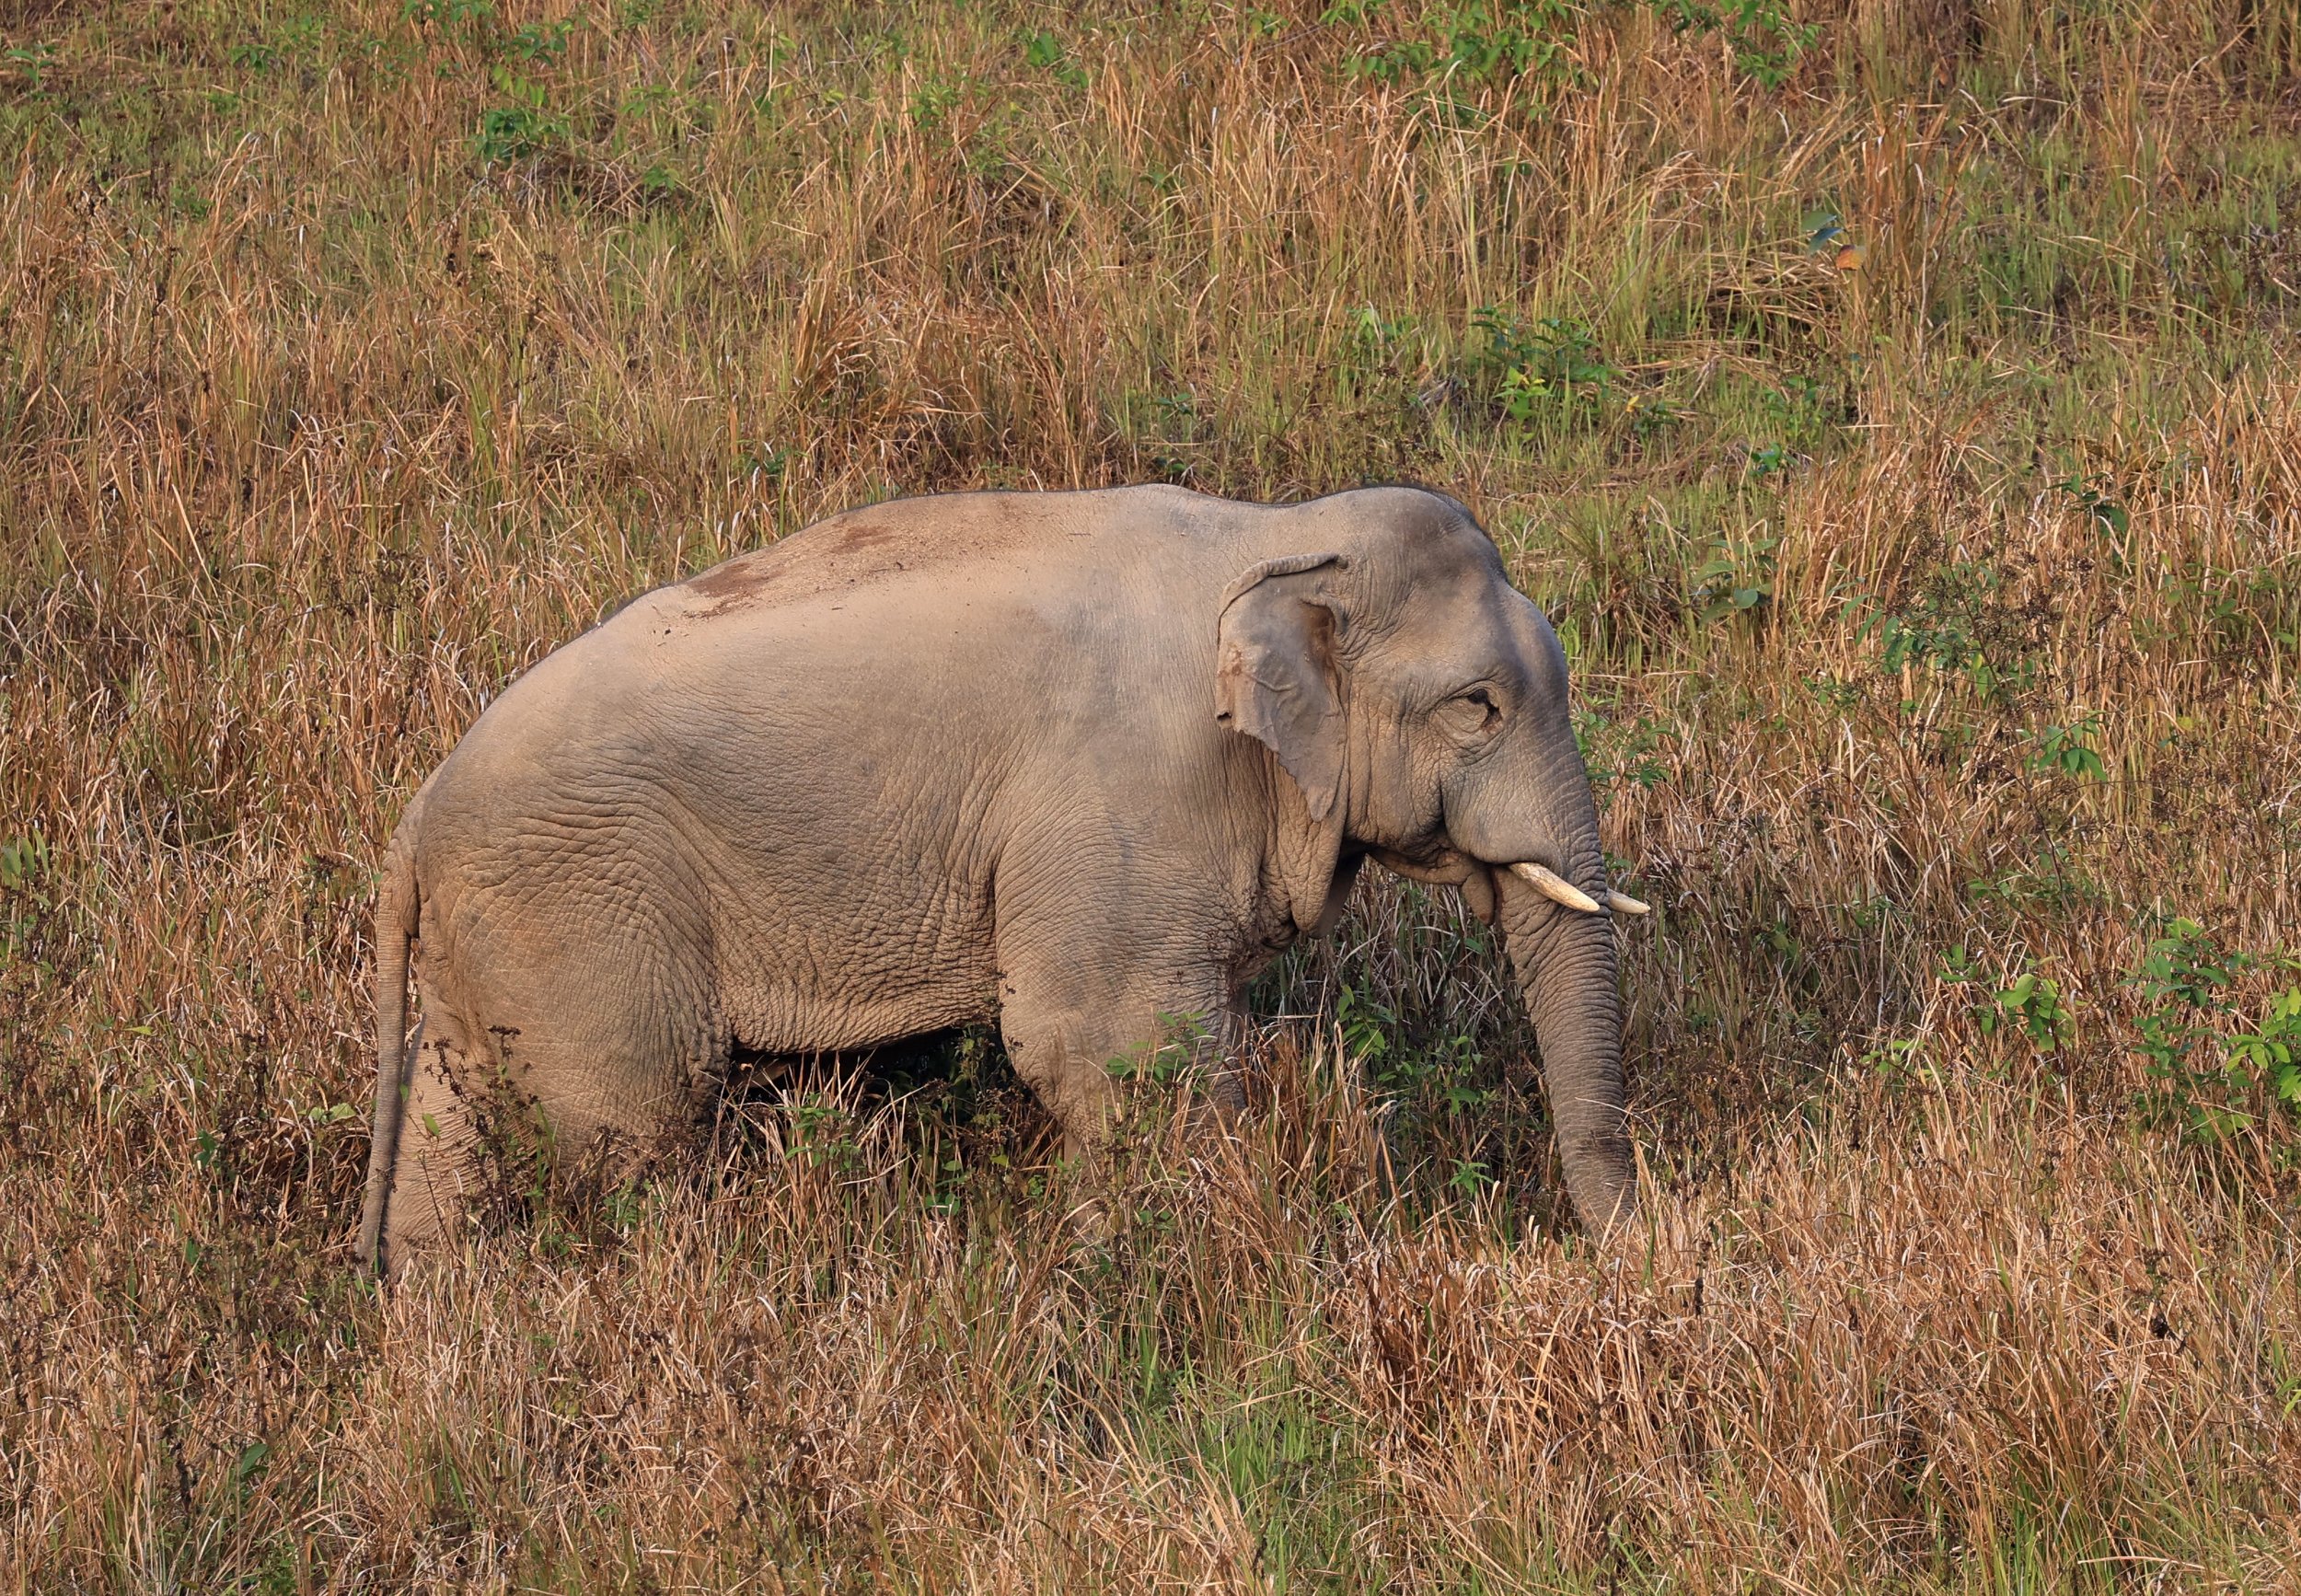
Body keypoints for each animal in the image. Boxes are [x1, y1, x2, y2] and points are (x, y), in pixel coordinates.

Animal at [357, 484, 1646, 1274]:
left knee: (455, 1142)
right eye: (1476, 706)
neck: (1274, 534)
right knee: (628, 1129)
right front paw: (1137, 1273)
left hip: (498, 942)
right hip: (585, 906)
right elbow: (1106, 1045)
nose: (1631, 1253)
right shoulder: (1123, 798)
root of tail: (410, 825)